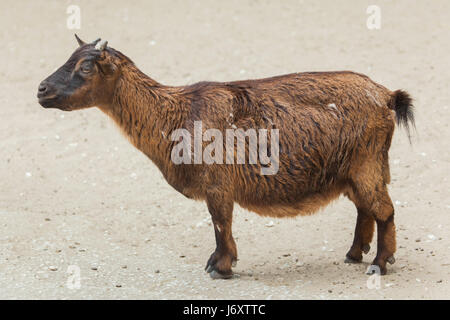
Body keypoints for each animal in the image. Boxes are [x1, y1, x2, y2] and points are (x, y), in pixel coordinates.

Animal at [38, 36, 414, 278]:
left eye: (86, 67)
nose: (42, 90)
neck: (176, 113)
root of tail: (386, 95)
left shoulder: (217, 185)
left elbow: (221, 223)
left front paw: (220, 266)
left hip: (366, 165)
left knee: (384, 210)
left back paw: (380, 263)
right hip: (353, 171)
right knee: (366, 209)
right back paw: (354, 254)